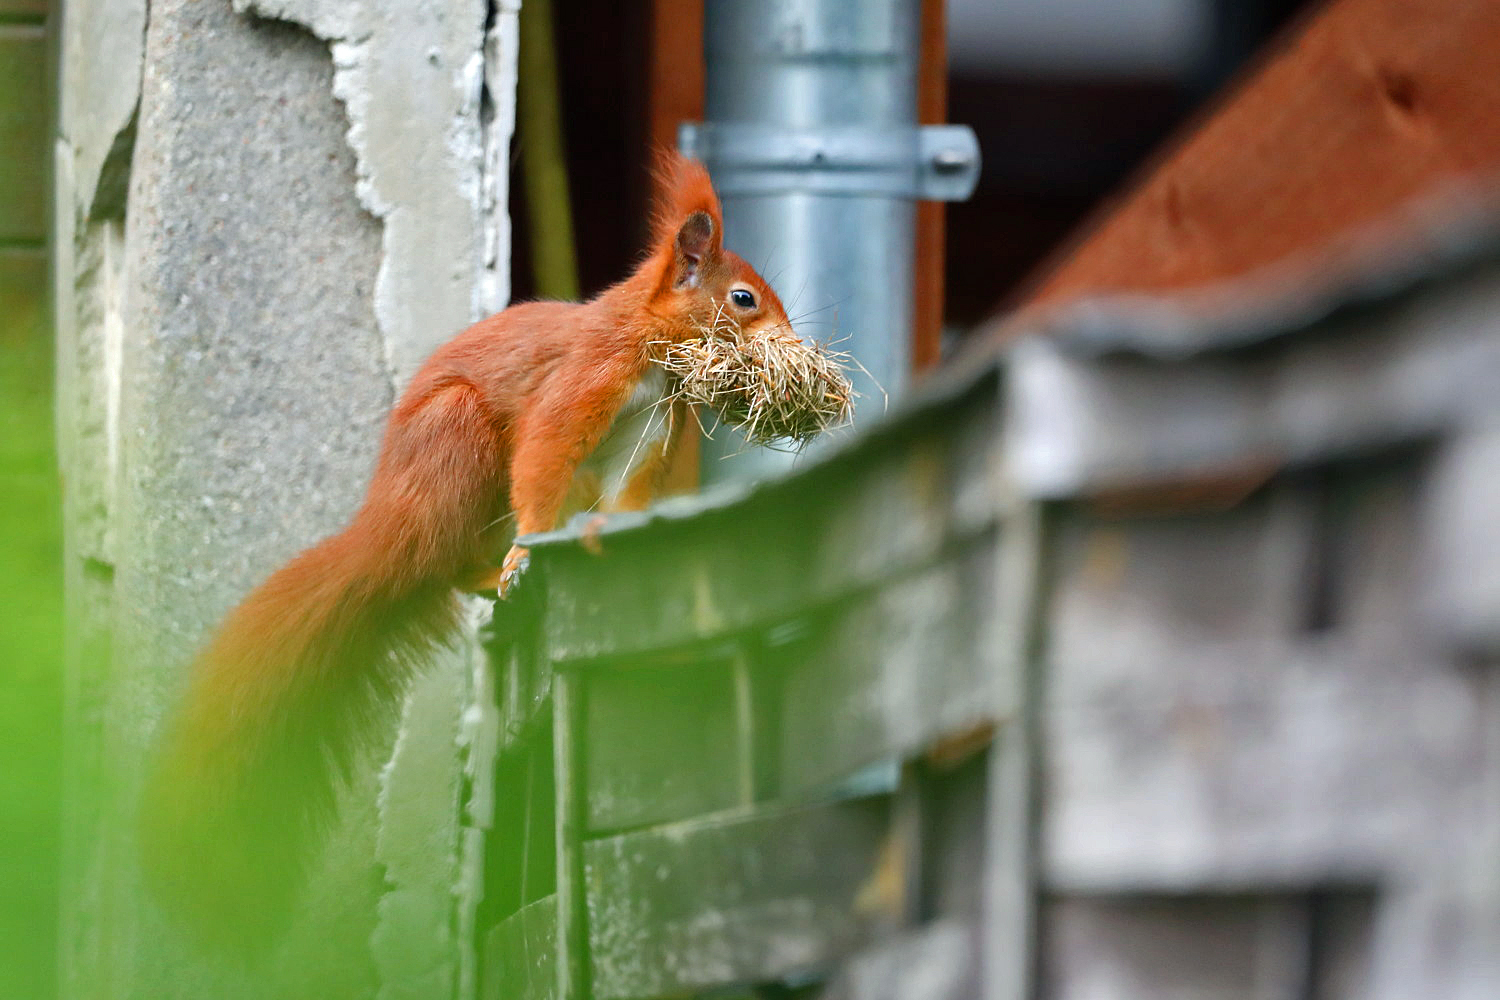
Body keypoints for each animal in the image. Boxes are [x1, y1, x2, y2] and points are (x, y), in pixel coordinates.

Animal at [139, 154, 792, 947]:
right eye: (743, 298)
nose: (792, 340)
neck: (647, 349)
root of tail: (390, 524)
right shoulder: (582, 381)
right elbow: (542, 456)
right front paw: (530, 548)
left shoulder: (645, 434)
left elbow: (626, 495)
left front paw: (611, 534)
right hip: (456, 446)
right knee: (445, 560)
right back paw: (500, 570)